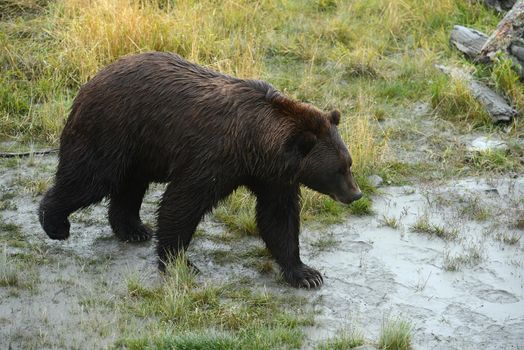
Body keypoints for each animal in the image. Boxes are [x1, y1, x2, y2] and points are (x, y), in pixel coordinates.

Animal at [40, 51, 360, 288]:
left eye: (349, 164)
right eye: (339, 169)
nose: (355, 194)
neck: (255, 144)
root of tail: (92, 79)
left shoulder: (274, 177)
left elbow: (279, 217)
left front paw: (306, 273)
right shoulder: (213, 157)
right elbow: (183, 202)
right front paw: (180, 262)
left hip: (140, 149)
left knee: (129, 185)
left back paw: (133, 229)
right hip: (112, 129)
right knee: (90, 178)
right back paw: (55, 223)